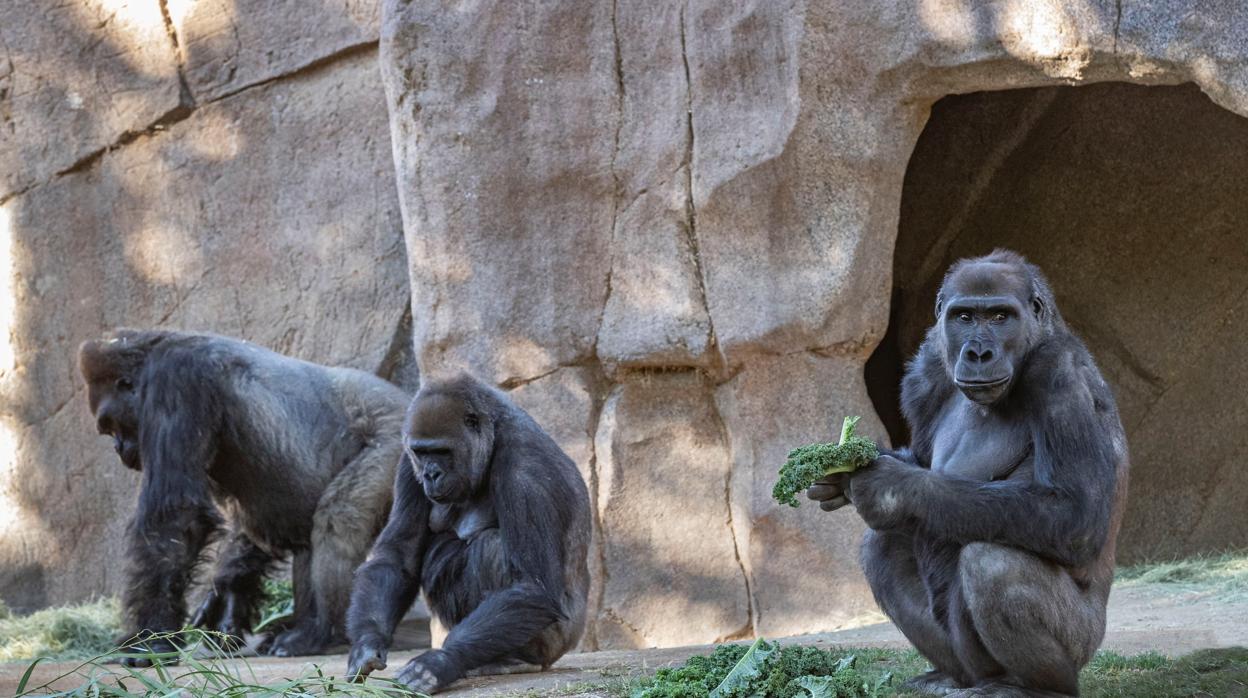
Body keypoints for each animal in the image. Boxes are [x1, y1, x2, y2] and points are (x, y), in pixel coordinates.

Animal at [78, 329, 409, 664]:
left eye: (112, 424)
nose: (119, 449)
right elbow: (258, 521)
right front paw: (228, 592)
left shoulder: (175, 378)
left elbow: (177, 518)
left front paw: (151, 637)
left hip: (395, 438)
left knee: (337, 519)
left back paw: (319, 631)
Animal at [344, 374, 591, 694]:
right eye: (422, 452)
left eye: (442, 451)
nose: (431, 475)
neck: (494, 435)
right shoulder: (408, 464)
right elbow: (397, 558)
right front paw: (366, 644)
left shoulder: (526, 469)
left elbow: (531, 586)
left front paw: (441, 661)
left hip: (558, 642)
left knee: (490, 547)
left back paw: (515, 659)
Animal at [808, 252, 1133, 698]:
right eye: (964, 316)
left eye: (1000, 316)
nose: (979, 352)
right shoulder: (927, 371)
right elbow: (920, 460)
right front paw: (842, 473)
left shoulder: (1059, 372)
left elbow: (1074, 513)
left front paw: (890, 487)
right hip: (964, 661)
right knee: (883, 547)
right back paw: (948, 676)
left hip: (1085, 641)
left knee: (993, 562)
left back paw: (1037, 687)